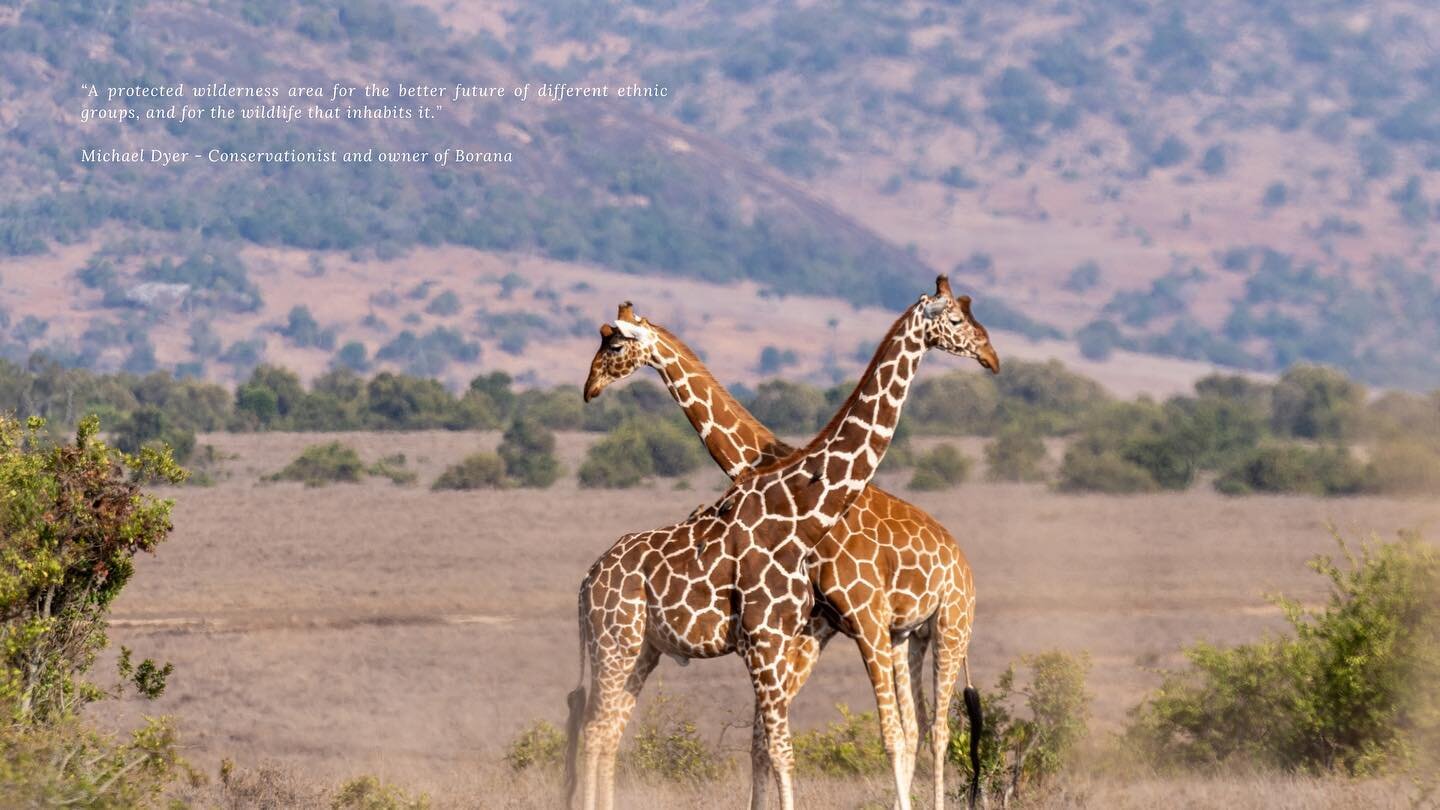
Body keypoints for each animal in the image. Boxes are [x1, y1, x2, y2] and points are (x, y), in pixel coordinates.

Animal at [564, 276, 1002, 807]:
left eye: (612, 343)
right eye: (957, 318)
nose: (991, 355)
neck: (794, 503)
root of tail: (587, 582)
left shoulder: (803, 634)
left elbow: (783, 745)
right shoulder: (778, 638)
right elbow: (778, 747)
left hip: (944, 625)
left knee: (933, 730)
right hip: (622, 645)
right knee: (596, 731)